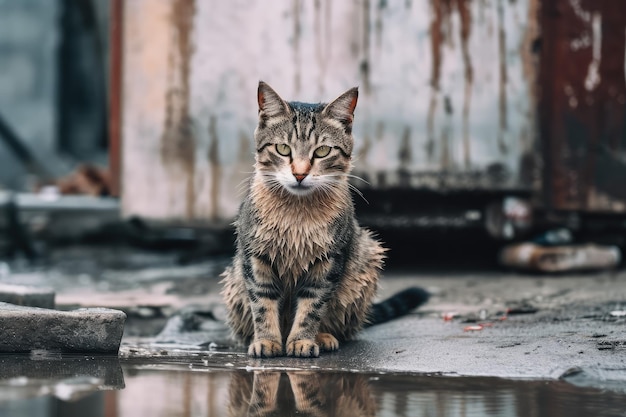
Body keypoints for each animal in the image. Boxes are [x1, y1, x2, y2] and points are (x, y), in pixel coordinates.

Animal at [217, 81, 426, 358]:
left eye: (322, 151)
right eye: (283, 149)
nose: (299, 174)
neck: (296, 213)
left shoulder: (328, 262)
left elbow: (311, 307)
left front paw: (302, 340)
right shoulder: (256, 257)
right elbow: (262, 304)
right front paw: (267, 340)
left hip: (365, 261)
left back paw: (324, 337)